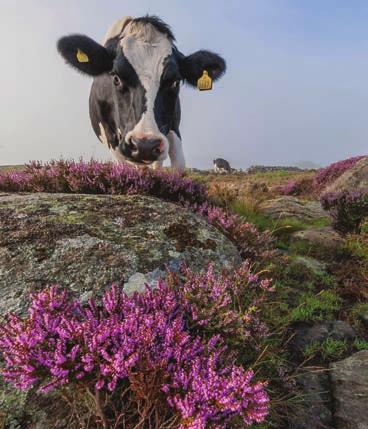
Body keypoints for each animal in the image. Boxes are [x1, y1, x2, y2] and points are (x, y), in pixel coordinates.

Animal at [57, 16, 226, 171]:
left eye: (175, 82)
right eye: (116, 78)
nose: (145, 145)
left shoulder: (172, 127)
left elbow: (178, 165)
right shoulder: (112, 138)